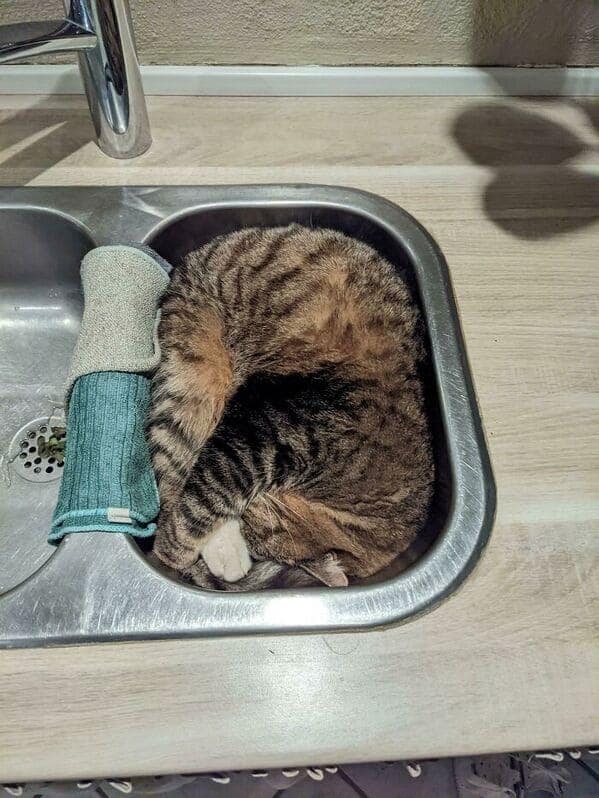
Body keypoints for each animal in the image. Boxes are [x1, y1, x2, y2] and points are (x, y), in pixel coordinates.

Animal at [148, 224, 434, 590]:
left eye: (262, 542)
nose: (247, 529)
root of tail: (182, 268)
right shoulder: (264, 426)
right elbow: (206, 497)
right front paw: (171, 553)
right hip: (192, 378)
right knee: (174, 472)